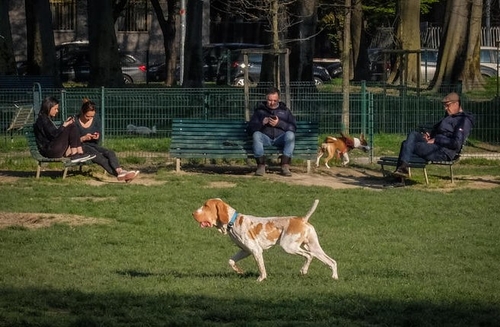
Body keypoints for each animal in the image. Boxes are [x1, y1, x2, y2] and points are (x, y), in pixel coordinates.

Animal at [192, 199, 340, 284]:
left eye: (206, 206)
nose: (193, 213)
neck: (232, 222)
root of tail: (302, 219)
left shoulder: (256, 250)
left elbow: (261, 268)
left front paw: (260, 279)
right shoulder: (245, 250)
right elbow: (231, 261)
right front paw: (239, 271)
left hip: (289, 246)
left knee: (309, 256)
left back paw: (304, 270)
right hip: (314, 247)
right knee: (331, 261)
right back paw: (334, 277)